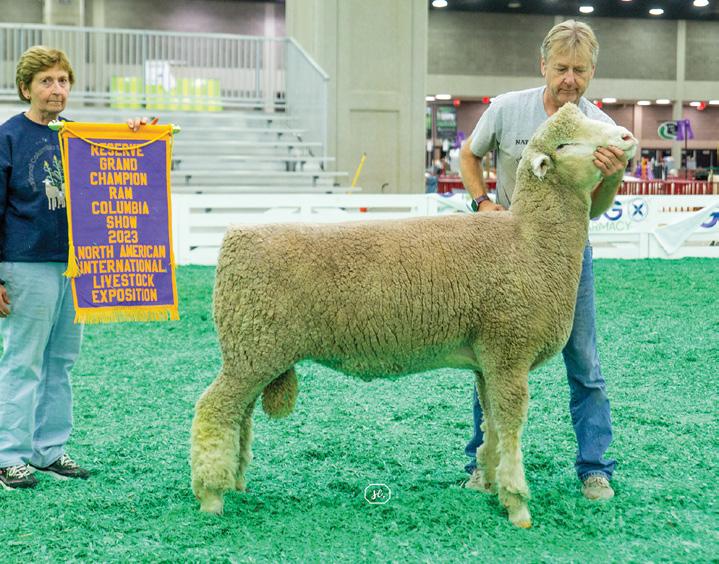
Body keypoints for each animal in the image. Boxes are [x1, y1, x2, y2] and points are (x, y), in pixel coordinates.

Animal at [190, 103, 637, 528]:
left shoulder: (488, 360)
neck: (531, 240)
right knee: (214, 408)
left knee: (241, 415)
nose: (626, 138)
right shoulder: (508, 351)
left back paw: (237, 481)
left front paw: (489, 484)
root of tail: (234, 236)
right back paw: (211, 495)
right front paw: (517, 504)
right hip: (253, 348)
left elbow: (491, 424)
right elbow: (510, 425)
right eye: (565, 144)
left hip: (256, 352)